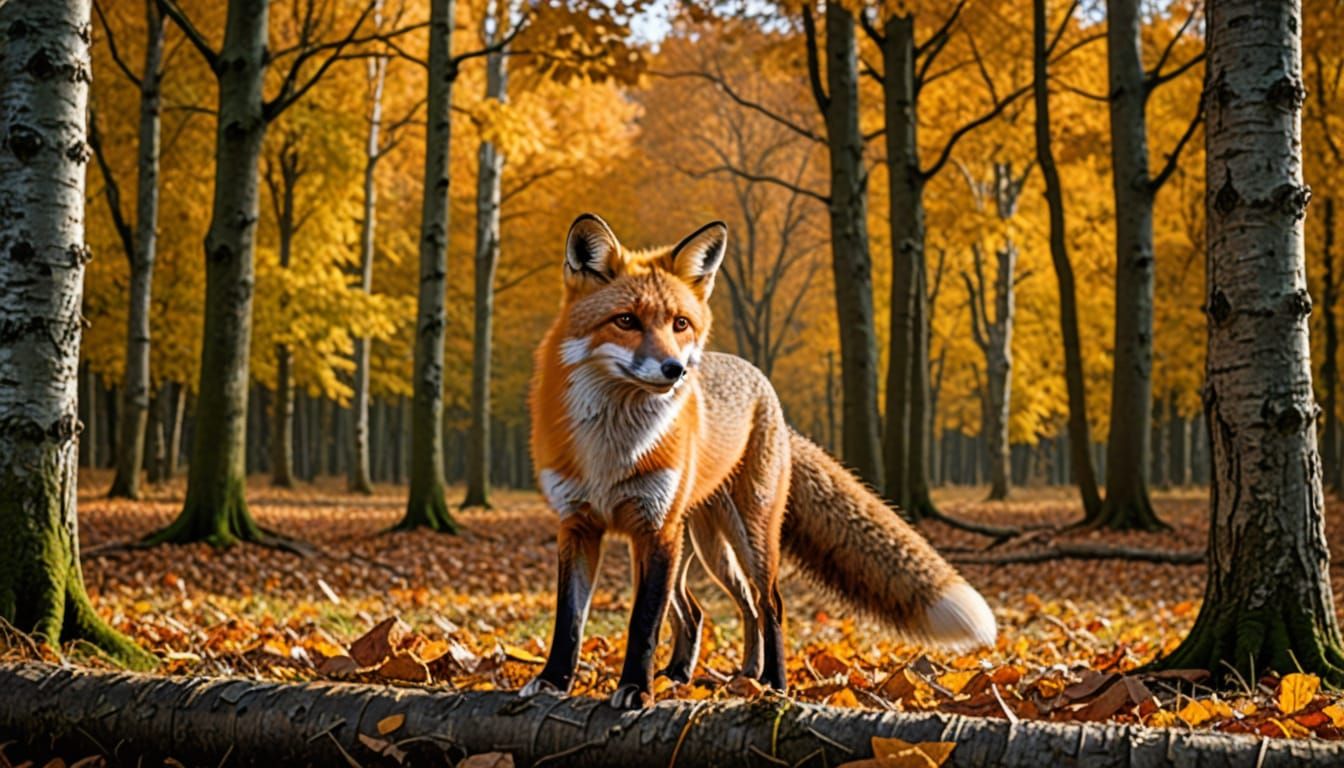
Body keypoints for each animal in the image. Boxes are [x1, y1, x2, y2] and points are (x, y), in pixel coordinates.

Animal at [520, 213, 997, 709]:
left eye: (680, 324)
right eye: (626, 321)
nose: (676, 370)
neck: (611, 451)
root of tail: (764, 386)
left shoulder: (655, 528)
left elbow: (642, 623)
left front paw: (635, 688)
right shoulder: (580, 525)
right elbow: (568, 622)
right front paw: (553, 682)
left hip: (746, 536)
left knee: (769, 604)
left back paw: (772, 683)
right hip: (700, 548)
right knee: (712, 609)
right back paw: (703, 675)